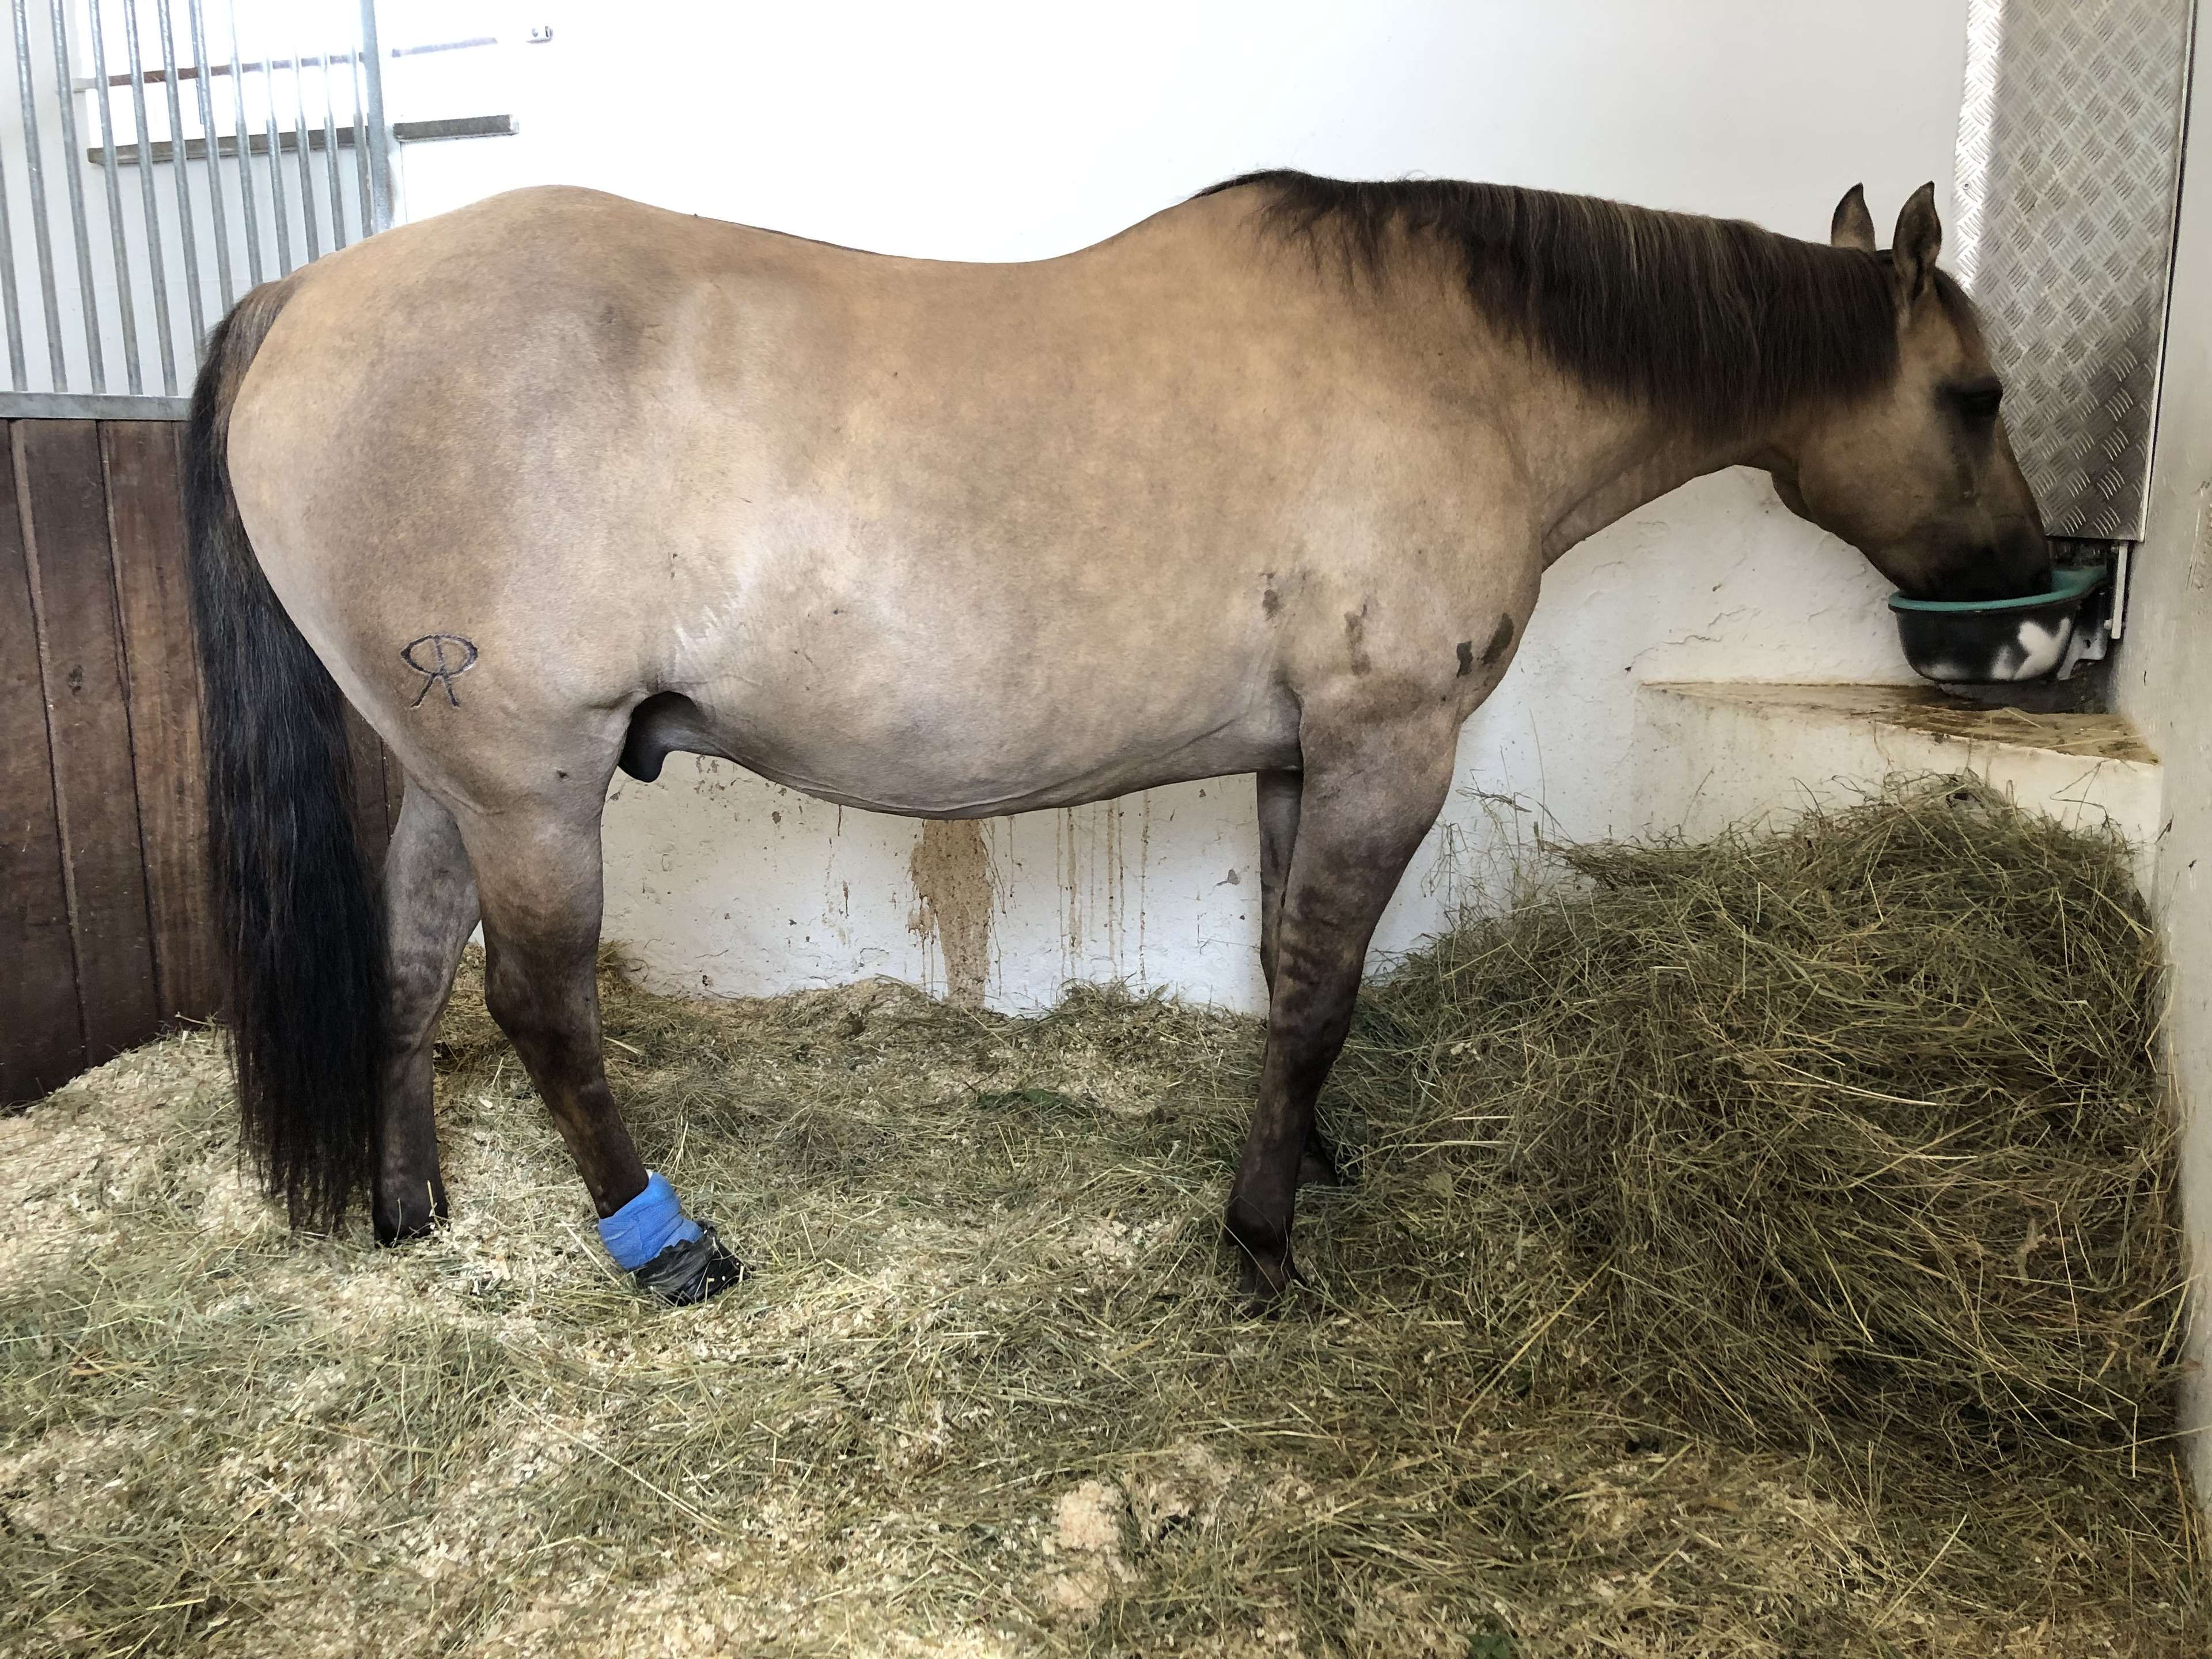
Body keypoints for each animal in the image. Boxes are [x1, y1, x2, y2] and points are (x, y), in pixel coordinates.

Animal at [185, 172, 2049, 1305]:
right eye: (1972, 398)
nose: (2027, 617)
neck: (1462, 367)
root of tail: (307, 292)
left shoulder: (1302, 758)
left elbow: (1294, 969)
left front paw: (1305, 1155)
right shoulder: (1386, 747)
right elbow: (1319, 984)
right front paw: (1261, 1238)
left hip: (464, 772)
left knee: (412, 961)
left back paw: (408, 1208)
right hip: (536, 778)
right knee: (537, 1002)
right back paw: (664, 1245)